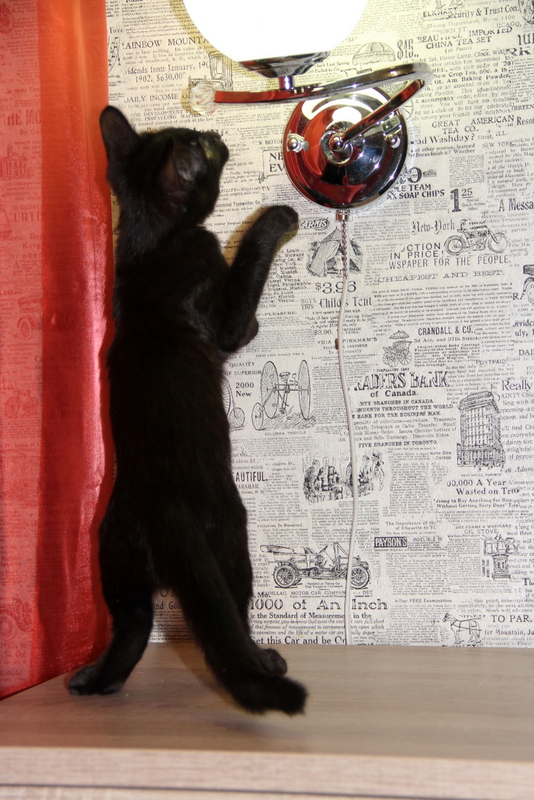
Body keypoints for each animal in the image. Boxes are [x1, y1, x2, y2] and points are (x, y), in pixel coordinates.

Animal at [67, 106, 307, 715]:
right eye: (205, 149)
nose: (216, 133)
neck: (151, 243)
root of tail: (164, 509)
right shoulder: (220, 312)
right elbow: (242, 294)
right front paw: (275, 220)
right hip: (232, 536)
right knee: (236, 611)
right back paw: (264, 660)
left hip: (116, 562)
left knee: (131, 626)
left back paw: (94, 681)